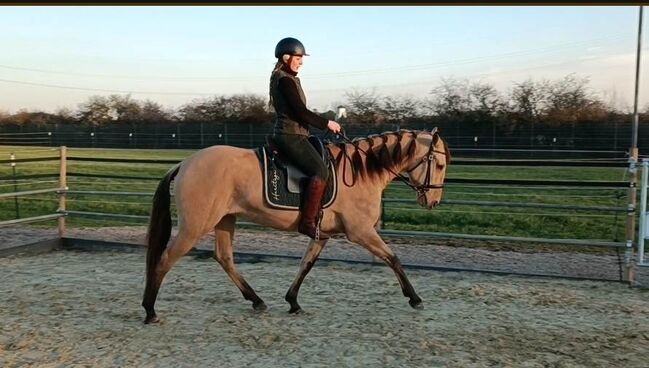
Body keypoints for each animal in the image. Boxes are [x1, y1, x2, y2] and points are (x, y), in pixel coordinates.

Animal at [140, 128, 450, 324]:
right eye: (440, 165)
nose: (433, 202)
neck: (360, 172)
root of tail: (185, 163)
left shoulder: (323, 234)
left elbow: (306, 264)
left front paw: (292, 301)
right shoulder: (360, 231)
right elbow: (393, 258)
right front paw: (415, 298)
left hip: (224, 220)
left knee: (224, 258)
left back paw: (256, 300)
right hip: (195, 225)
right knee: (165, 259)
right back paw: (149, 310)